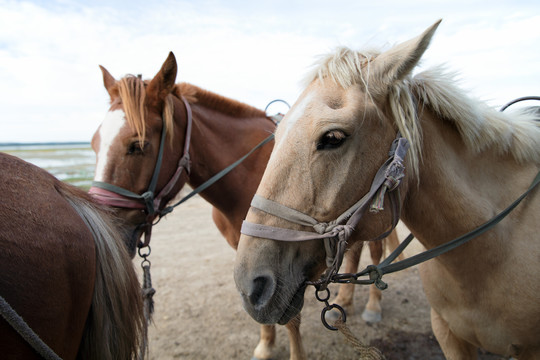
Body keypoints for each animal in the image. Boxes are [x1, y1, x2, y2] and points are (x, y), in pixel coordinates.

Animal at [86, 51, 394, 360]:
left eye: (137, 145)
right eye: (93, 143)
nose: (106, 229)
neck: (249, 172)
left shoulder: (286, 266)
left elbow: (289, 317)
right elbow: (257, 302)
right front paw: (266, 344)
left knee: (376, 252)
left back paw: (374, 306)